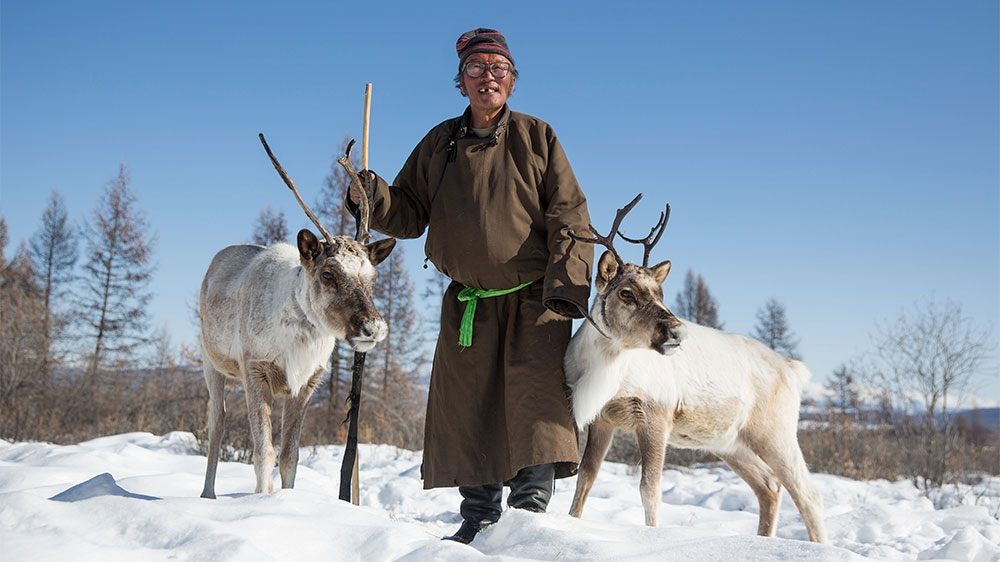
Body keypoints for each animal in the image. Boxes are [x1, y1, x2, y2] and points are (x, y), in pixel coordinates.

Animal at [198, 138, 396, 499]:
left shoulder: (306, 383)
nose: (373, 327)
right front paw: (262, 498)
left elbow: (290, 455)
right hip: (211, 360)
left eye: (372, 278)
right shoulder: (255, 369)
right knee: (216, 424)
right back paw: (209, 494)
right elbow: (263, 452)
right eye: (328, 274)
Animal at [563, 194, 827, 543]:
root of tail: (793, 369)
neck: (604, 368)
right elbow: (585, 479)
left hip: (776, 432)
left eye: (659, 293)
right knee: (769, 486)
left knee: (809, 494)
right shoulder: (603, 418)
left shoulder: (655, 415)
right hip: (730, 442)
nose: (678, 331)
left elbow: (649, 490)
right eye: (626, 292)